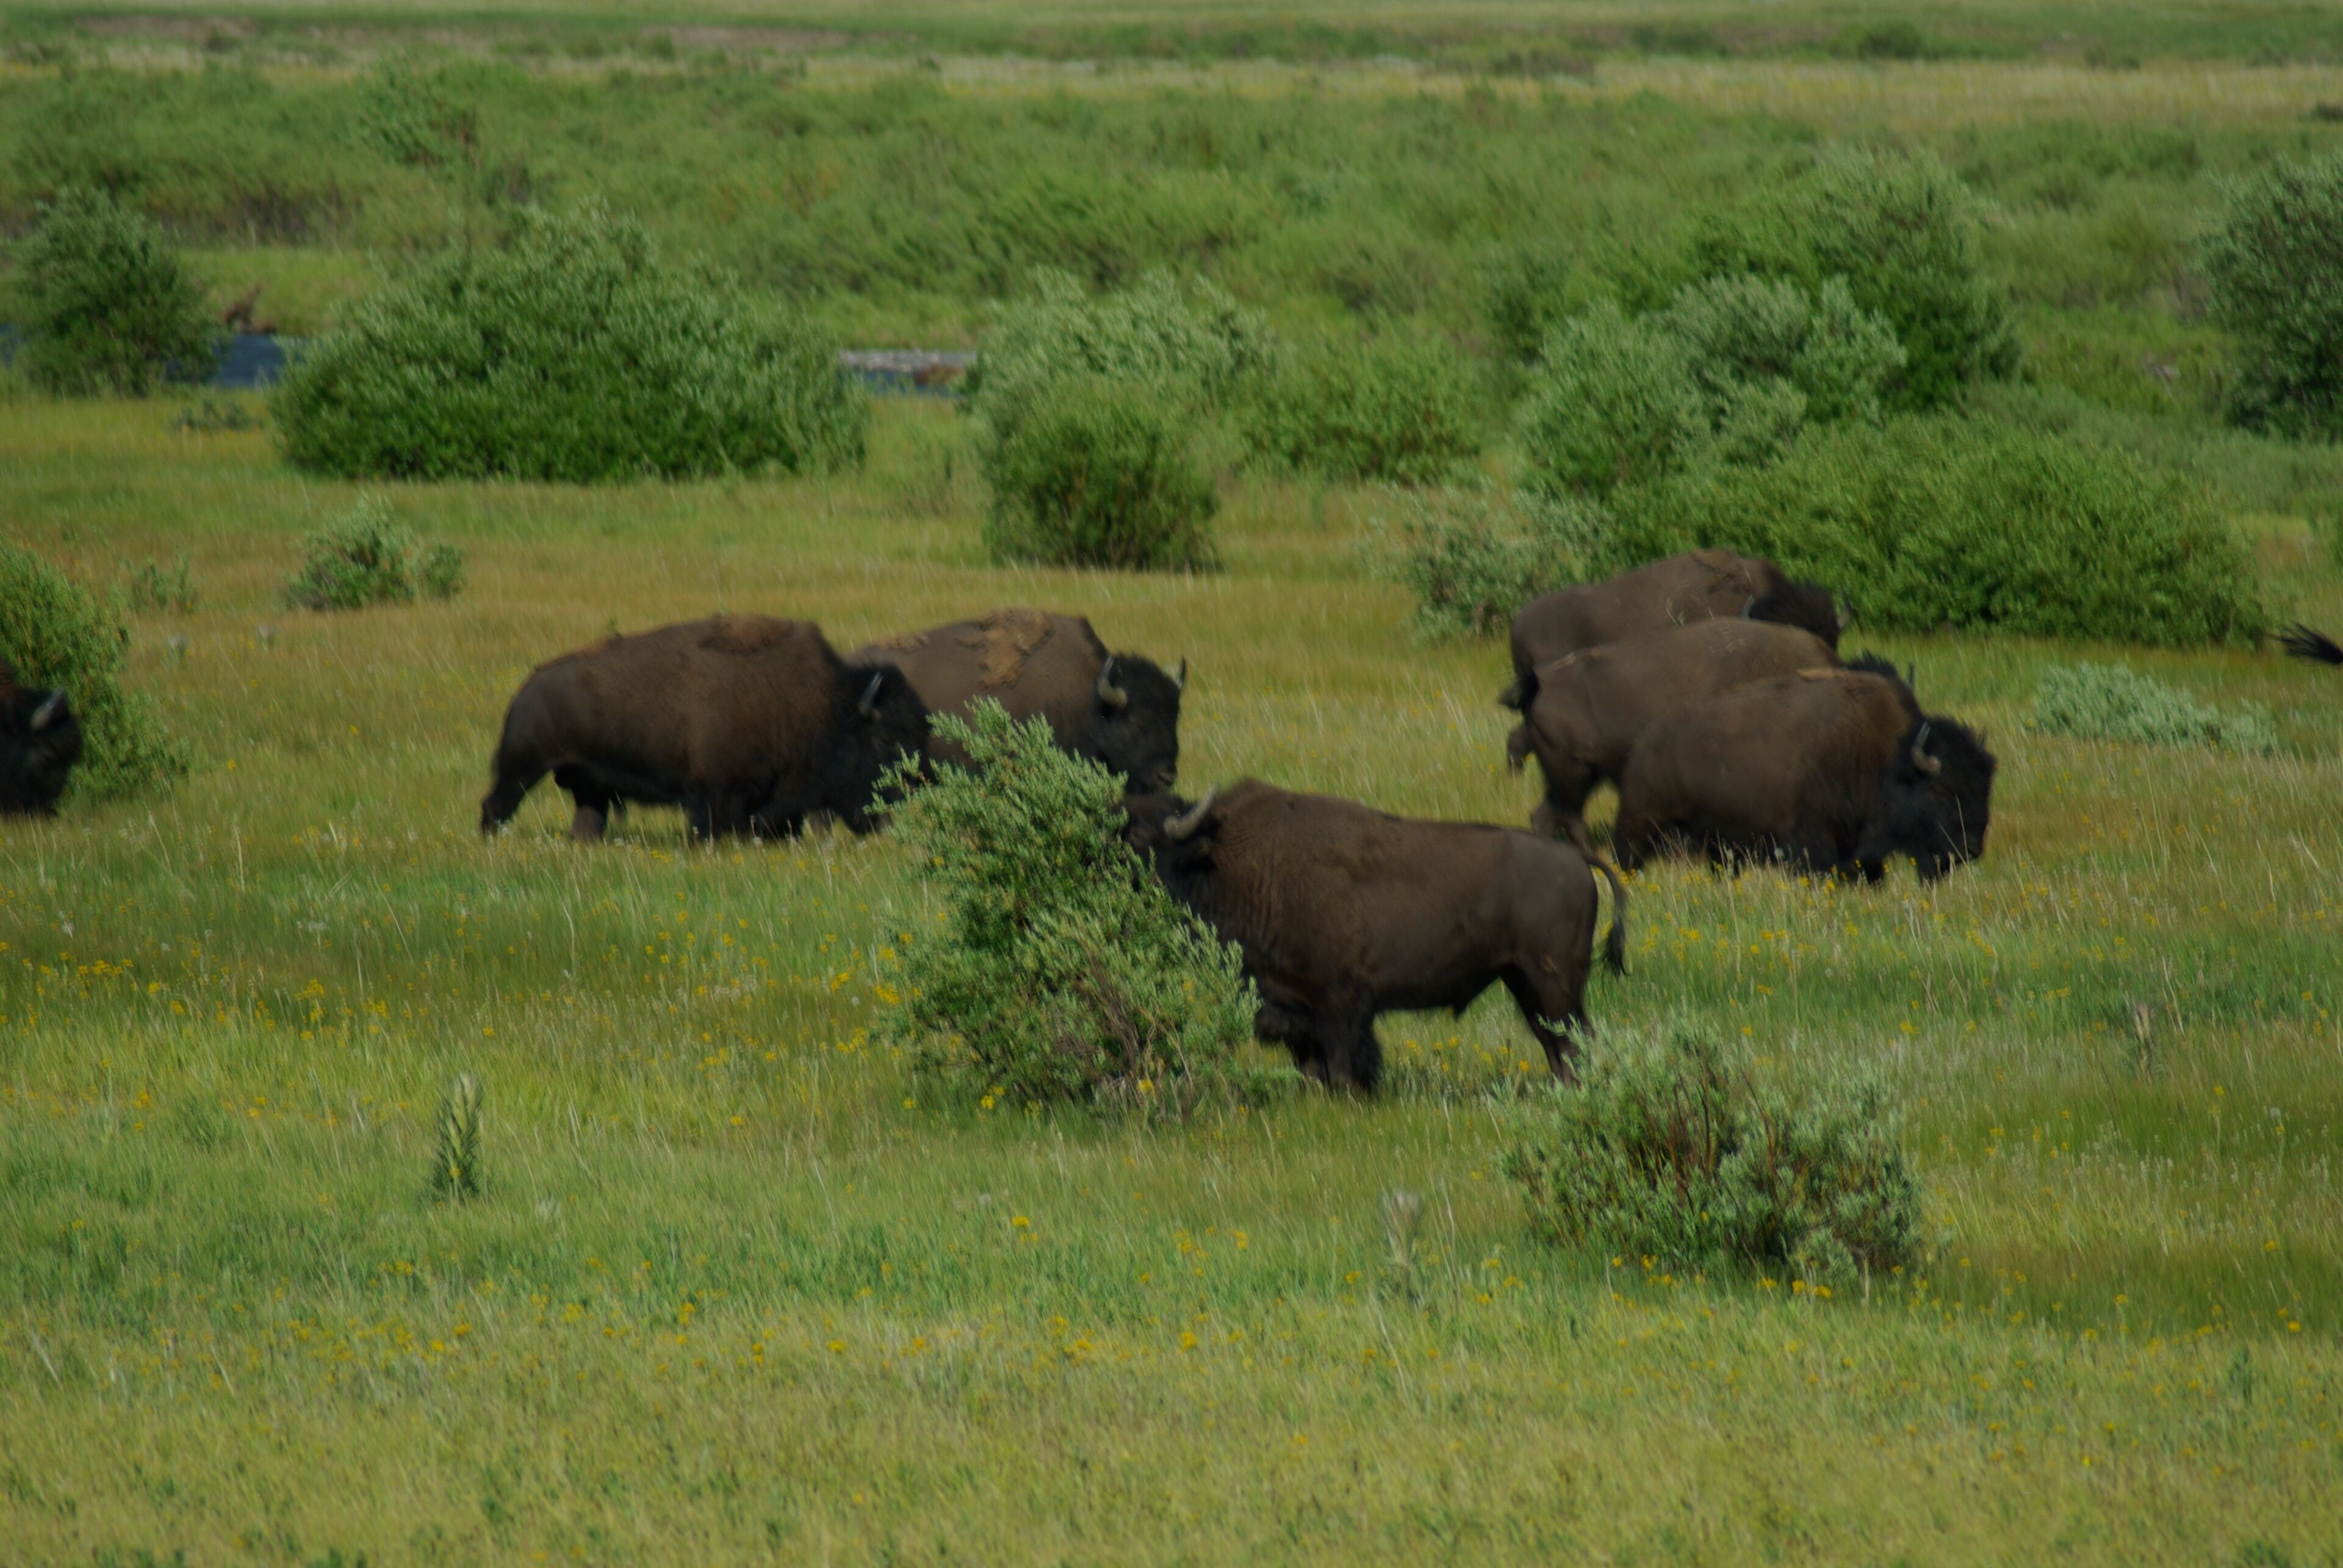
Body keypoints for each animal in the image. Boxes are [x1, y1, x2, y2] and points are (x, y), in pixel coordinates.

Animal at [480, 615, 926, 841]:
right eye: (885, 739)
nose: (890, 821)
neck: (821, 705)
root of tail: (527, 686)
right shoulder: (715, 796)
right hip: (521, 770)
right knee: (495, 806)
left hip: (591, 787)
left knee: (588, 818)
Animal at [1123, 780, 1627, 1089]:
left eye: (1139, 838)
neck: (1223, 859)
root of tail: (1576, 860)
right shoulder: (1294, 1007)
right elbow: (1312, 1068)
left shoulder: (1339, 1005)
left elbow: (1345, 1066)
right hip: (1525, 984)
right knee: (1556, 1045)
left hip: (1554, 985)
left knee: (1575, 1041)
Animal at [1613, 667, 1995, 883]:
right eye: (1943, 791)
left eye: (1984, 790)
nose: (1972, 848)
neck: (1889, 759)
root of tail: (1644, 742)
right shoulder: (1813, 844)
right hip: (1641, 824)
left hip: (1718, 844)